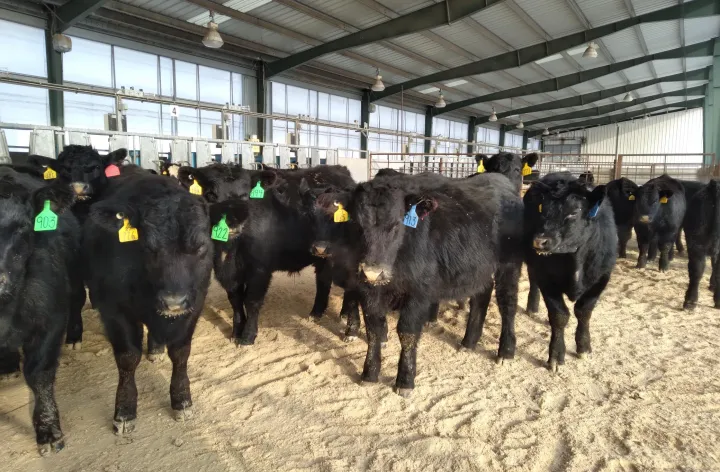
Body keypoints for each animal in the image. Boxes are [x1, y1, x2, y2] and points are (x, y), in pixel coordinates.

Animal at [83, 172, 213, 433]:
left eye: (201, 246)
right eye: (147, 246)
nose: (174, 301)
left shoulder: (195, 305)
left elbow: (181, 352)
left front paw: (182, 401)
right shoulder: (113, 309)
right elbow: (127, 357)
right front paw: (124, 411)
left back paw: (155, 349)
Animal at [179, 163, 356, 345]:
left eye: (245, 196)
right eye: (210, 195)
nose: (233, 222)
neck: (230, 251)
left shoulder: (260, 270)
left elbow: (251, 301)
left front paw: (247, 336)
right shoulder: (226, 271)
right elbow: (235, 300)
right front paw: (236, 332)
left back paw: (344, 316)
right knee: (323, 279)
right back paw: (316, 313)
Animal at [315, 171, 524, 396]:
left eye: (397, 224)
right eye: (356, 223)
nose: (372, 272)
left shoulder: (418, 293)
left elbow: (407, 333)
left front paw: (405, 381)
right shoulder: (369, 291)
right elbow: (374, 329)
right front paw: (369, 374)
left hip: (510, 265)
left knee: (508, 303)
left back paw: (506, 351)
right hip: (478, 269)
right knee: (481, 296)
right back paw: (469, 342)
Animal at [524, 173, 617, 371]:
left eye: (574, 212)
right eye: (542, 208)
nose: (540, 241)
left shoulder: (601, 278)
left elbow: (584, 311)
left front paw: (584, 347)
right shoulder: (546, 278)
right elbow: (559, 315)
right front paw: (556, 355)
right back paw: (532, 308)